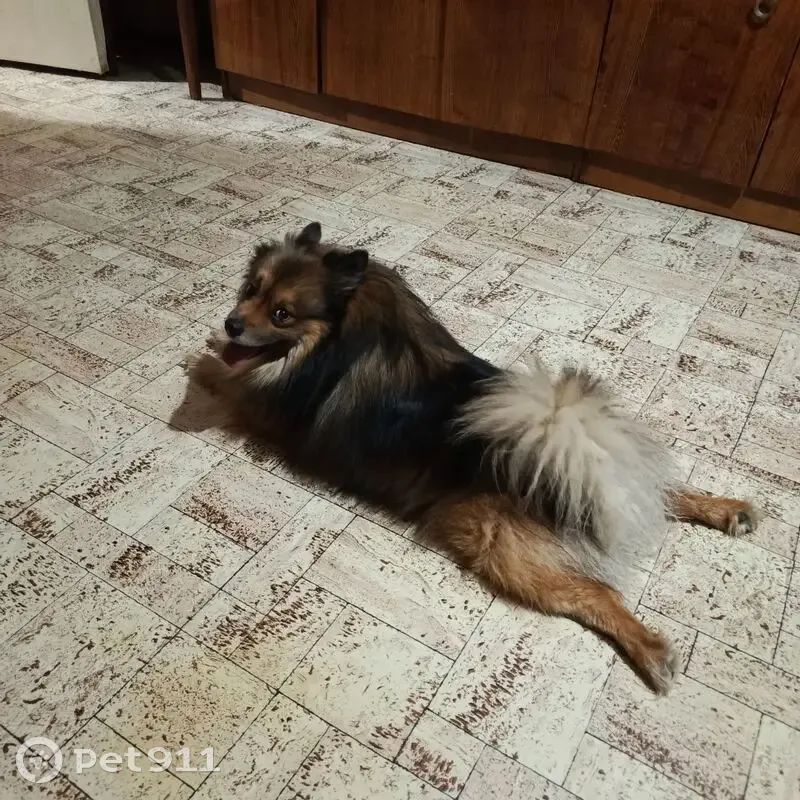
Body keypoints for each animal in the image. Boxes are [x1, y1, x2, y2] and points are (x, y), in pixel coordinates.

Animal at [185, 222, 758, 694]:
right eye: (252, 289)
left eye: (281, 314)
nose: (232, 323)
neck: (340, 339)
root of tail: (561, 456)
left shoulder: (268, 412)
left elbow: (228, 378)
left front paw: (203, 357)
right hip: (604, 482)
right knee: (659, 491)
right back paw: (727, 509)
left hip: (502, 548)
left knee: (596, 593)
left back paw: (652, 649)